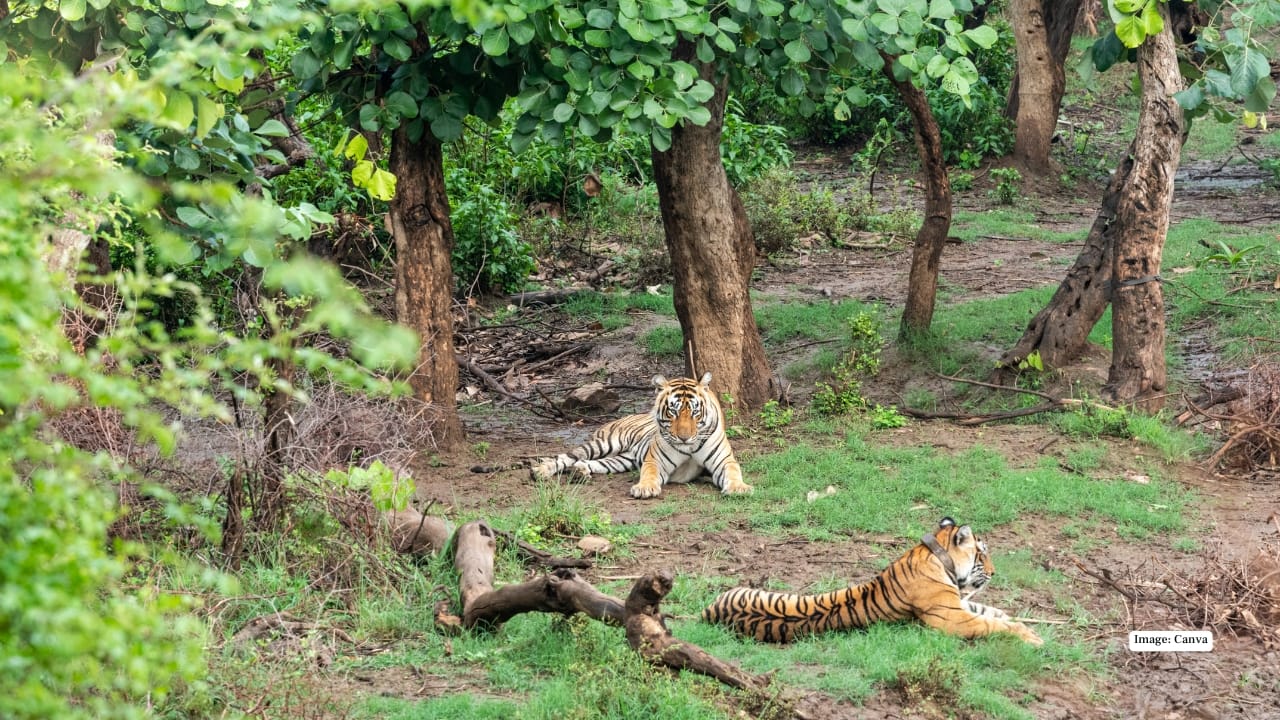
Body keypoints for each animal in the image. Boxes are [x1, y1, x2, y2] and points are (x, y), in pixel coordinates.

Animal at [530, 372, 752, 499]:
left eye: (695, 412)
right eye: (673, 411)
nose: (684, 438)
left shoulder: (724, 461)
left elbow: (733, 472)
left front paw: (739, 488)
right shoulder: (655, 461)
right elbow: (649, 473)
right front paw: (645, 489)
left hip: (622, 460)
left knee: (590, 463)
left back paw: (579, 472)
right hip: (604, 444)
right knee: (566, 457)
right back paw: (541, 471)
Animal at [701, 517, 1043, 645]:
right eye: (982, 554)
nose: (995, 572)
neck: (934, 555)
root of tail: (708, 612)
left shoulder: (959, 604)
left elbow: (992, 612)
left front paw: (1020, 621)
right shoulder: (953, 618)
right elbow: (991, 624)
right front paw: (1031, 636)